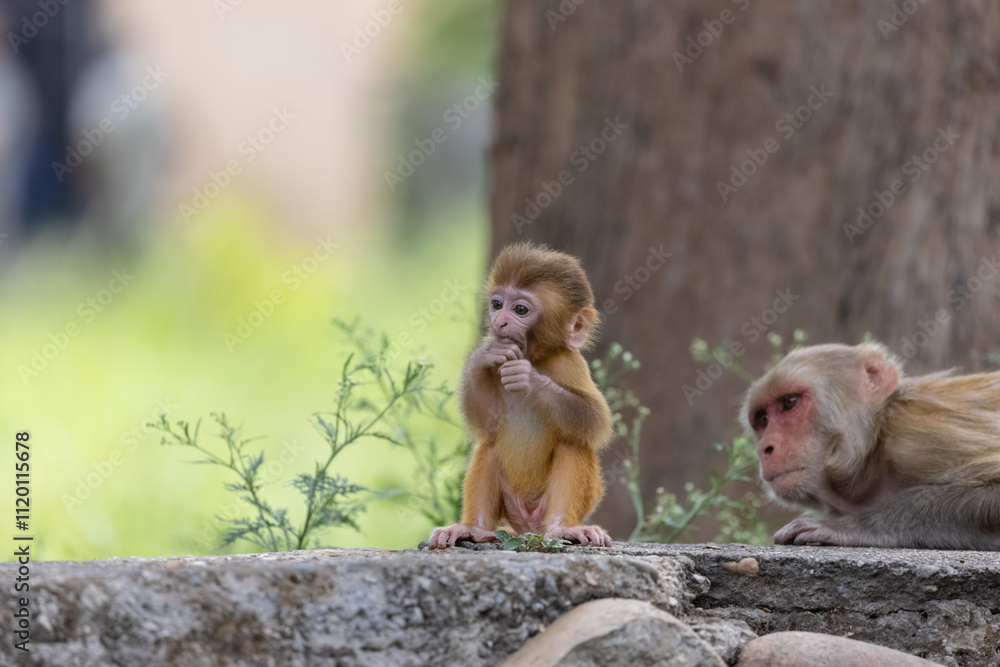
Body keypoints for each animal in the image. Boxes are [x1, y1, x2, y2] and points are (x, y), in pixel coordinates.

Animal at [427, 242, 615, 548]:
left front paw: (530, 380)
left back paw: (563, 528)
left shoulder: (570, 363)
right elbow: (488, 426)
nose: (500, 322)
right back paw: (474, 528)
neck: (537, 357)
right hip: (511, 506)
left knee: (572, 441)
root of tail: (529, 528)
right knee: (489, 446)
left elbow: (595, 421)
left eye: (520, 309)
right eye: (497, 305)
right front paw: (484, 355)